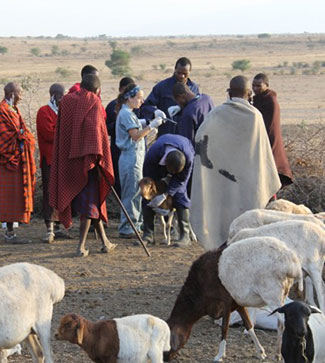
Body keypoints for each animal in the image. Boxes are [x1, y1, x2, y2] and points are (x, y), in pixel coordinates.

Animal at [163, 237, 302, 362]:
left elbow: (224, 328)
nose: (165, 359)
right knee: (281, 323)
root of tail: (291, 262)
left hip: (273, 296)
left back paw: (282, 354)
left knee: (283, 323)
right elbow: (249, 325)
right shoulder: (238, 304)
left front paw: (219, 355)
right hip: (281, 295)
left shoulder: (226, 302)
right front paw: (260, 352)